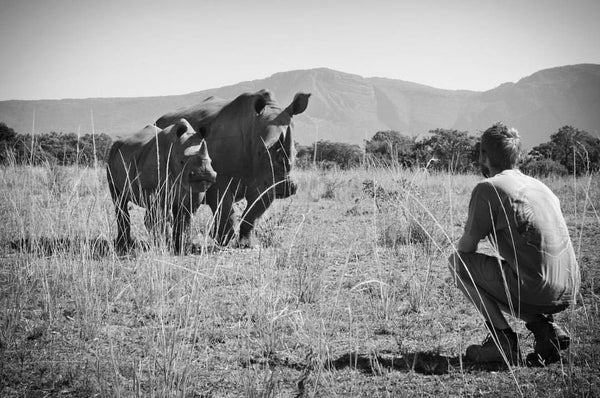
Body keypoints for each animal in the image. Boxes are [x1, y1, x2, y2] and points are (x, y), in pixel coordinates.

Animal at [106, 119, 217, 255]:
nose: (204, 174)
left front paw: (182, 249)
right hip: (111, 156)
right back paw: (124, 246)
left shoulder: (194, 191)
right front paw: (163, 247)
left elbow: (185, 219)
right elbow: (159, 216)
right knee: (119, 200)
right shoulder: (150, 187)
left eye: (211, 161)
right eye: (182, 162)